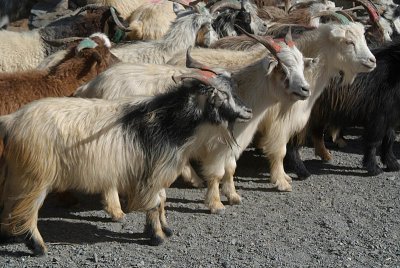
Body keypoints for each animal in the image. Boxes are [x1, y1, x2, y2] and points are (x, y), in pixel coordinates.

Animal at [0, 62, 252, 255]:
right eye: (223, 94)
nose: (248, 111)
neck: (167, 121)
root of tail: (12, 122)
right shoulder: (153, 173)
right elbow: (155, 203)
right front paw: (157, 237)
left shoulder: (157, 173)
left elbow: (161, 200)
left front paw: (163, 229)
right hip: (35, 178)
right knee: (27, 211)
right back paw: (38, 247)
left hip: (19, 176)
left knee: (10, 204)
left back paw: (9, 236)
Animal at [284, 38, 400, 177]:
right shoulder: (378, 118)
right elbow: (374, 142)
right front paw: (374, 168)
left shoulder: (390, 116)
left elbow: (389, 139)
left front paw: (392, 164)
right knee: (292, 144)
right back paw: (302, 171)